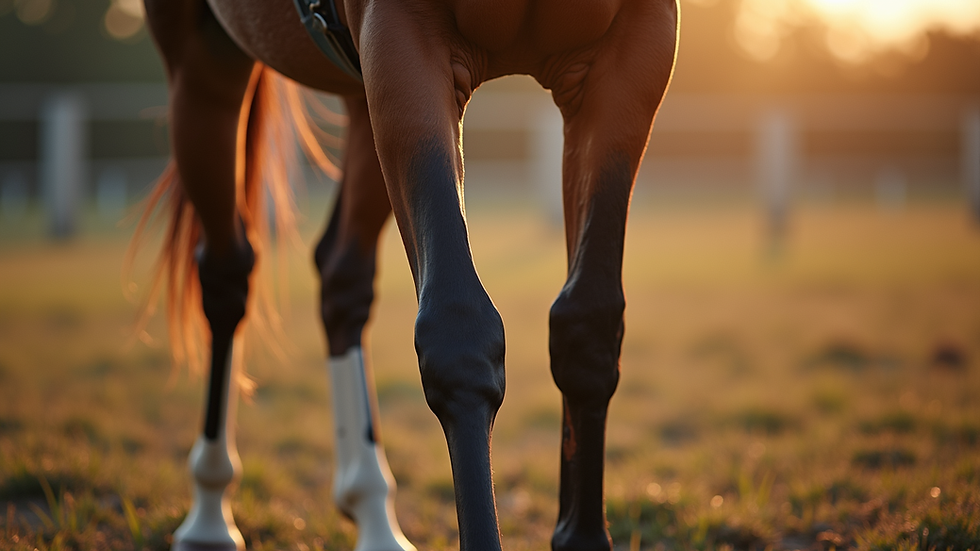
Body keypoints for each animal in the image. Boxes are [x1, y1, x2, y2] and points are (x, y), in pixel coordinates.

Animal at [138, 0, 678, 549]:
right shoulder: (403, 46)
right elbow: (458, 335)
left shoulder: (633, 55)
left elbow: (587, 325)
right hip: (203, 64)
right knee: (226, 276)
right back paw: (210, 516)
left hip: (360, 92)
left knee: (341, 277)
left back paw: (372, 509)